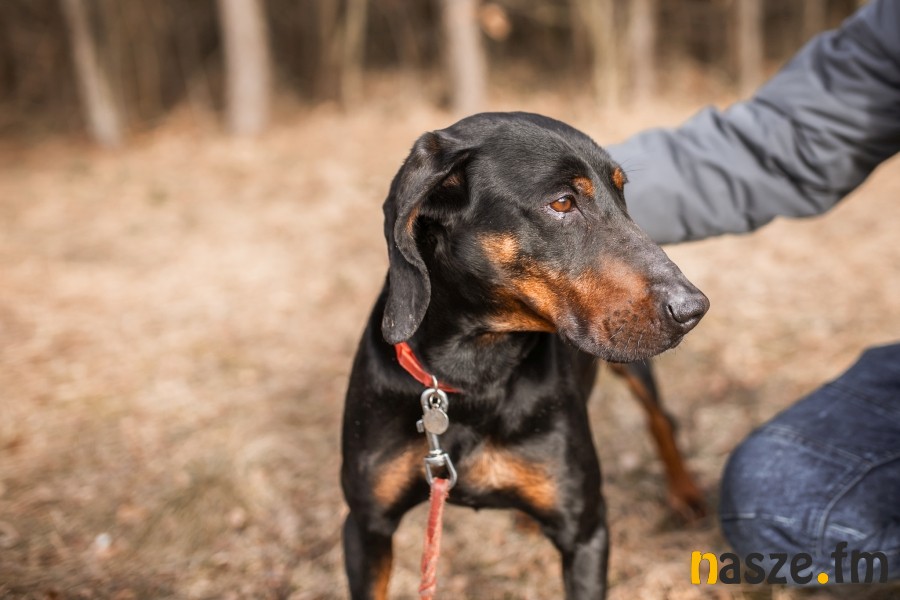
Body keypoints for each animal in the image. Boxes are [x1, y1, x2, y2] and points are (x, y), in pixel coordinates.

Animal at [341, 112, 709, 599]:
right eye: (562, 203)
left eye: (622, 196)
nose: (693, 309)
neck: (476, 372)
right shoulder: (366, 529)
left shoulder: (586, 533)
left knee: (661, 418)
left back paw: (685, 494)